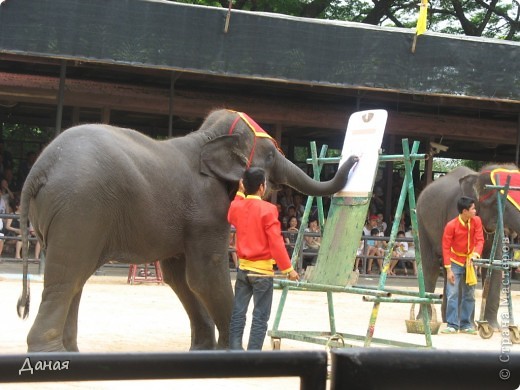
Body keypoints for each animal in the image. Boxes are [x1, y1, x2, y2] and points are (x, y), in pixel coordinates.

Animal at [16, 108, 358, 352]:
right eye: (272, 154)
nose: (355, 158)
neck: (207, 138)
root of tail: (38, 170)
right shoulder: (207, 209)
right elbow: (204, 275)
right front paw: (229, 350)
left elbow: (179, 277)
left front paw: (203, 349)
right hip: (79, 209)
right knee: (68, 275)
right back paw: (48, 354)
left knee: (75, 277)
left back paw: (69, 352)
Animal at [418, 162, 520, 330]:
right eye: (500, 204)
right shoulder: (455, 211)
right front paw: (466, 325)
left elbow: (495, 263)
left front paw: (493, 328)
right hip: (422, 223)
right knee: (430, 267)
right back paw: (423, 321)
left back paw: (446, 319)